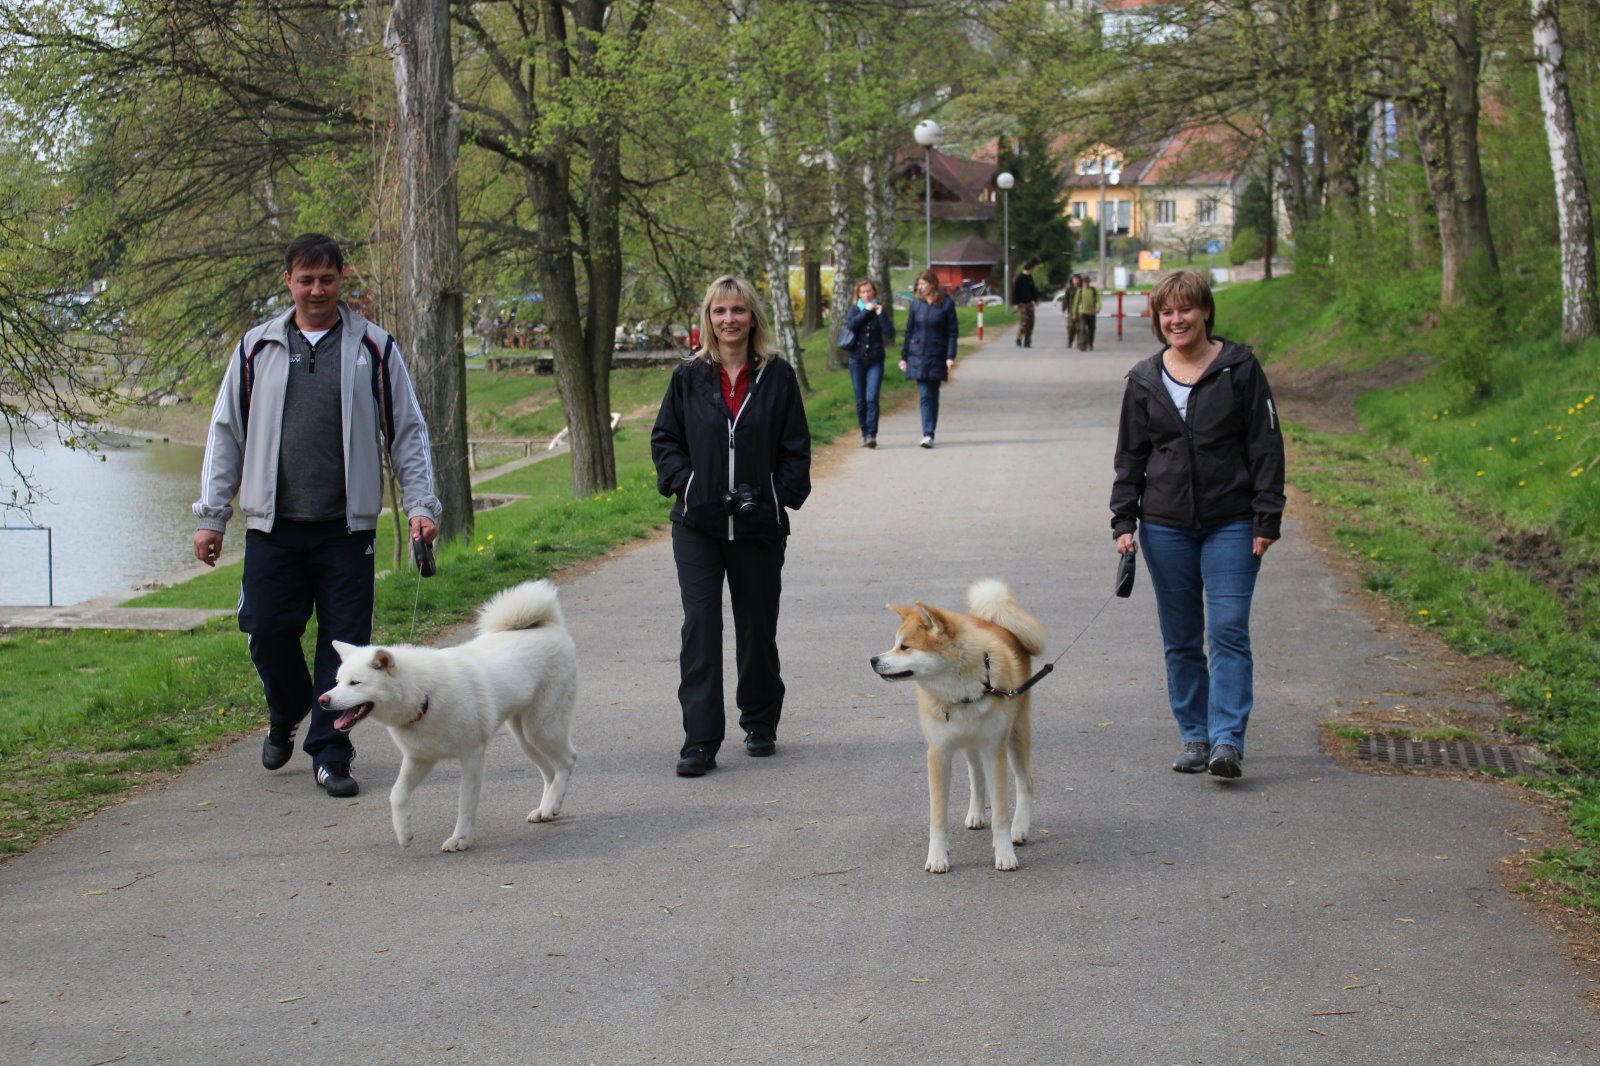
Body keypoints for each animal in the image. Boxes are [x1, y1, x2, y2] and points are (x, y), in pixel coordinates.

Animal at [318, 576, 582, 851]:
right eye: (337, 682)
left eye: (355, 683)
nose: (323, 700)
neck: (424, 694)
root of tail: (550, 627)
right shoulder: (419, 759)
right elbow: (396, 795)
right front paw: (404, 833)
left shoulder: (472, 756)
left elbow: (465, 804)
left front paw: (460, 839)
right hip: (526, 738)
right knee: (550, 771)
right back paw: (545, 808)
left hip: (541, 728)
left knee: (567, 760)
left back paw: (552, 805)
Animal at [876, 582, 1049, 870]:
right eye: (895, 645)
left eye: (905, 647)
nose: (873, 660)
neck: (961, 693)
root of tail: (996, 623)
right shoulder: (938, 753)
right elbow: (938, 817)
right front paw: (937, 857)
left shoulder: (994, 751)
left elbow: (1001, 814)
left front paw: (1004, 854)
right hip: (969, 744)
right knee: (976, 777)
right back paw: (977, 814)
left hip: (1016, 735)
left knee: (1026, 783)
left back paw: (1020, 829)